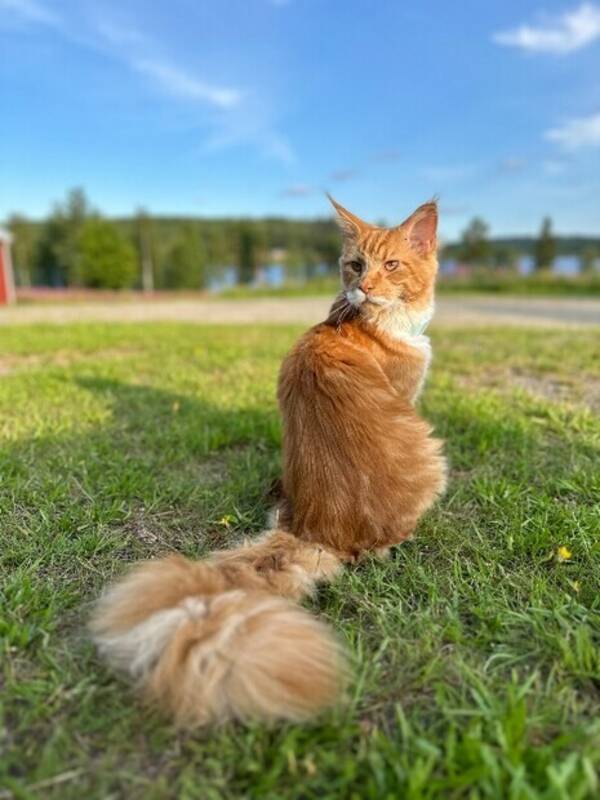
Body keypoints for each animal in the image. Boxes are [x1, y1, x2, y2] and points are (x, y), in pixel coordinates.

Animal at [89, 198, 446, 724]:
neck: (366, 324)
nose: (362, 287)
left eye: (391, 265)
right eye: (355, 265)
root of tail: (315, 530)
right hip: (434, 455)